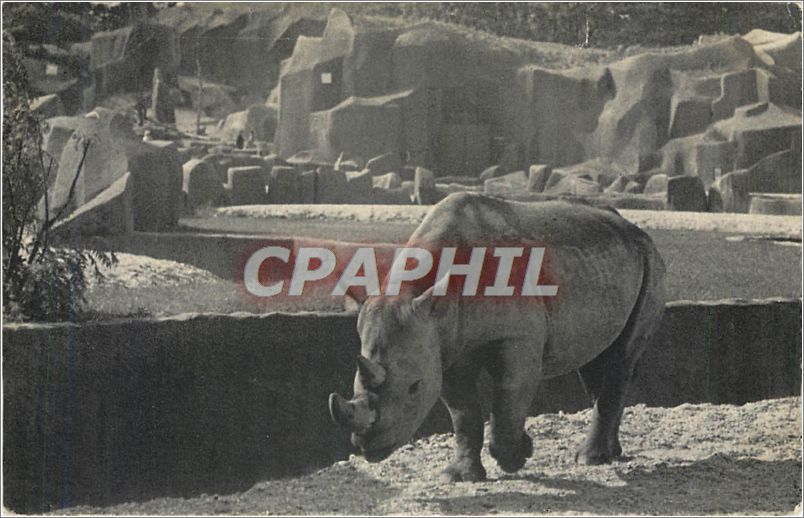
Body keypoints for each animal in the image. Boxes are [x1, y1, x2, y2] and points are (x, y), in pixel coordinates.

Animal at [329, 192, 666, 481]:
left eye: (414, 388)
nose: (368, 447)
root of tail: (633, 228)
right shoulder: (442, 346)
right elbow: (463, 414)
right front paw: (461, 476)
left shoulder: (517, 338)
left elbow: (509, 398)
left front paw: (517, 456)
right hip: (605, 265)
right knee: (596, 362)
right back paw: (611, 453)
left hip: (649, 260)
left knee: (621, 358)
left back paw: (590, 458)